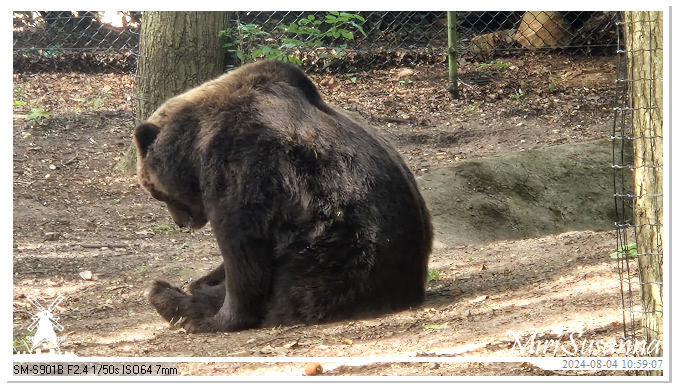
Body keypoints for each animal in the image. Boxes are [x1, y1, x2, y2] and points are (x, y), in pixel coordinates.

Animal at [135, 59, 432, 332]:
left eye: (156, 192)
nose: (180, 222)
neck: (194, 145)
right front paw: (205, 278)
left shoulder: (239, 163)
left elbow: (242, 251)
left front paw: (218, 318)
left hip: (327, 258)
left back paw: (166, 297)